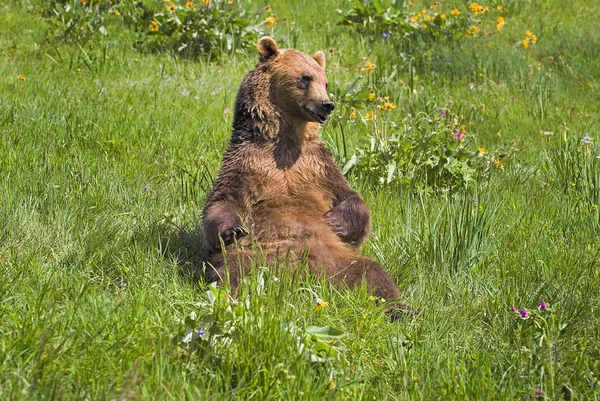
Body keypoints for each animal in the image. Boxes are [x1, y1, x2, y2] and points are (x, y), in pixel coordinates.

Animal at [204, 36, 410, 314]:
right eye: (305, 77)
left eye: (326, 82)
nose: (327, 104)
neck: (285, 143)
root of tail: (305, 276)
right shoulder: (247, 162)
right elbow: (223, 200)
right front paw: (232, 230)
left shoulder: (318, 166)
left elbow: (350, 198)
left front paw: (334, 221)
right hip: (253, 258)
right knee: (235, 274)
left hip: (341, 260)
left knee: (374, 274)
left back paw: (400, 308)